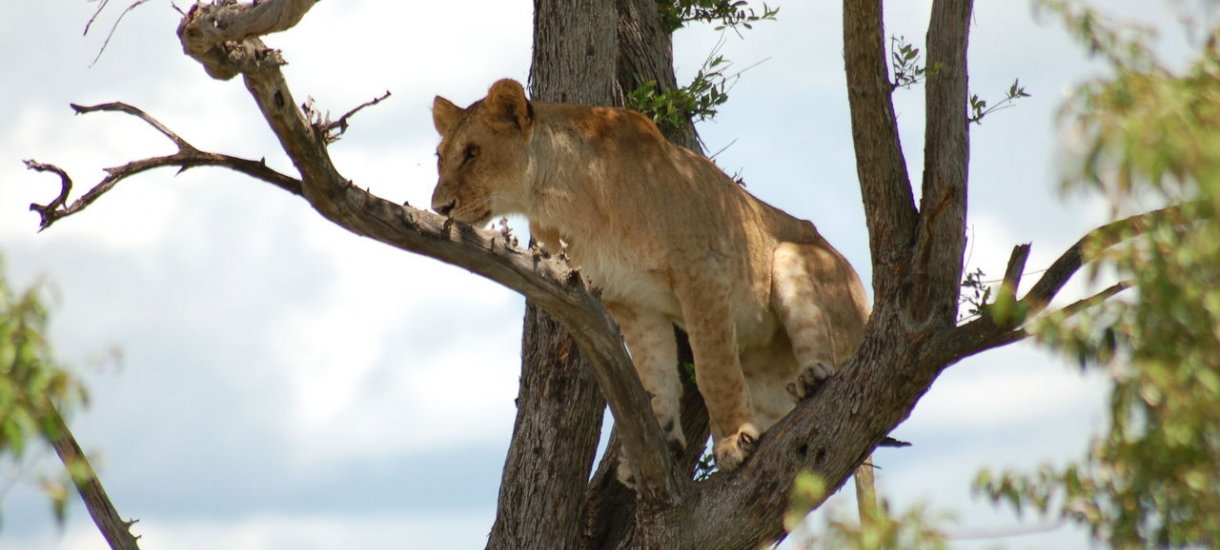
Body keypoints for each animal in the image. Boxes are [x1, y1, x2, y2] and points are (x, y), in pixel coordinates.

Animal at [429, 79, 868, 485]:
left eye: (472, 152)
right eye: (440, 158)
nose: (439, 207)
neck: (557, 198)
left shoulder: (701, 271)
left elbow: (713, 368)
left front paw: (734, 440)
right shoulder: (629, 300)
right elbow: (654, 373)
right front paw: (661, 441)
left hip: (793, 256)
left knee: (825, 351)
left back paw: (811, 379)